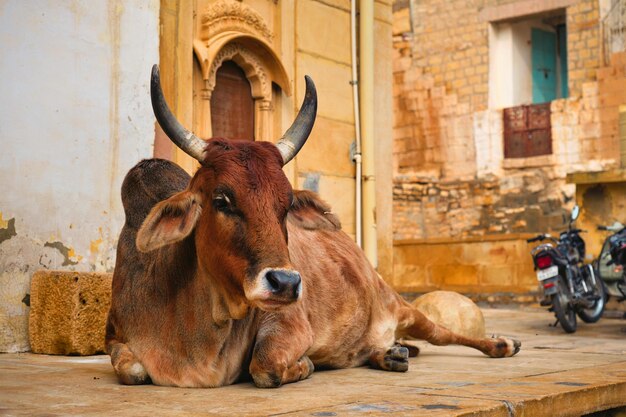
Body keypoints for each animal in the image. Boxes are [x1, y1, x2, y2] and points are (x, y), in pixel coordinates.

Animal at [105, 65, 520, 386]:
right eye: (221, 200)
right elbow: (133, 371)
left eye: (286, 204)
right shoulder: (116, 336)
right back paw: (392, 354)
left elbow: (265, 366)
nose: (286, 282)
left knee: (444, 333)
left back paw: (500, 345)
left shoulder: (287, 321)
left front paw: (304, 365)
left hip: (402, 307)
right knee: (382, 347)